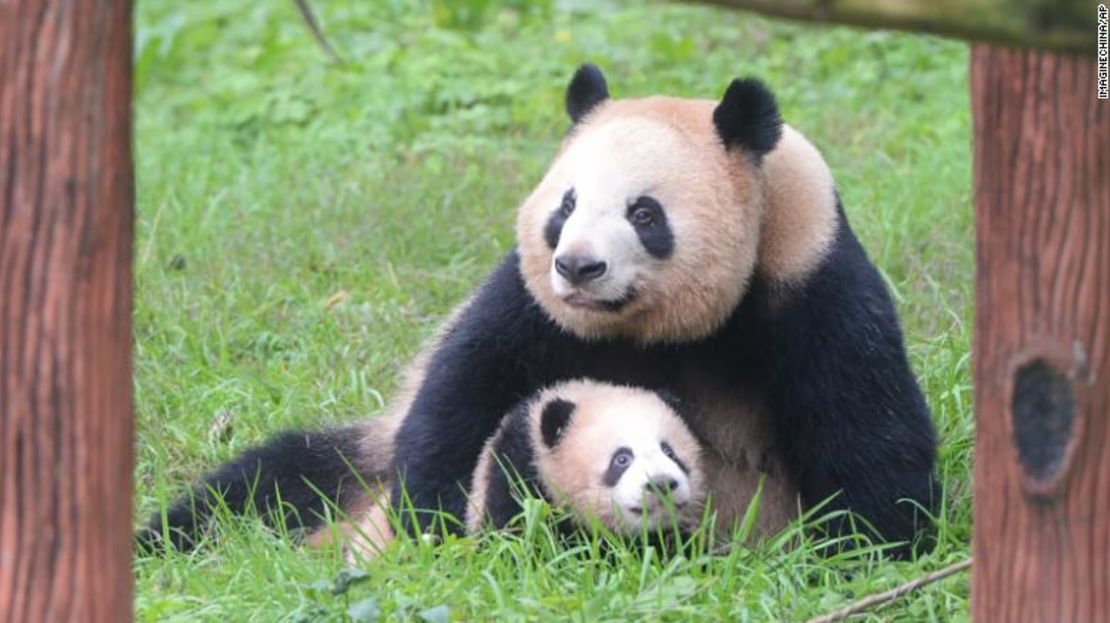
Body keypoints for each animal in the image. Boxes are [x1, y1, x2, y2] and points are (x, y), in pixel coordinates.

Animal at [136, 64, 936, 559]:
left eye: (644, 212)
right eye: (566, 206)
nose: (579, 267)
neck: (655, 324)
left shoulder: (807, 271)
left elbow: (866, 426)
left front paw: (867, 550)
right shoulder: (532, 299)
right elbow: (468, 382)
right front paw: (433, 522)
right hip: (353, 468)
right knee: (258, 489)